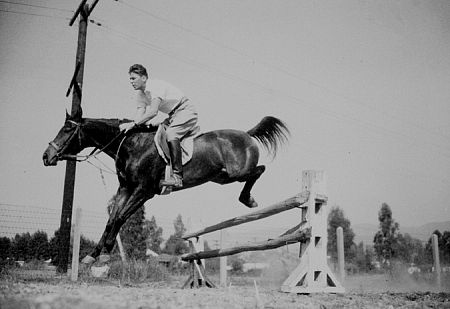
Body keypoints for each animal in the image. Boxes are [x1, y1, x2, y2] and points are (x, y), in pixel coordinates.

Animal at [42, 106, 288, 262]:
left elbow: (120, 218)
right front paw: (92, 256)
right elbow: (112, 219)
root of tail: (247, 135)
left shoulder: (144, 191)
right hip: (222, 178)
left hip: (238, 172)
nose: (46, 156)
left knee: (259, 170)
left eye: (67, 129)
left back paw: (248, 199)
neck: (132, 145)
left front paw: (104, 256)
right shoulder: (126, 188)